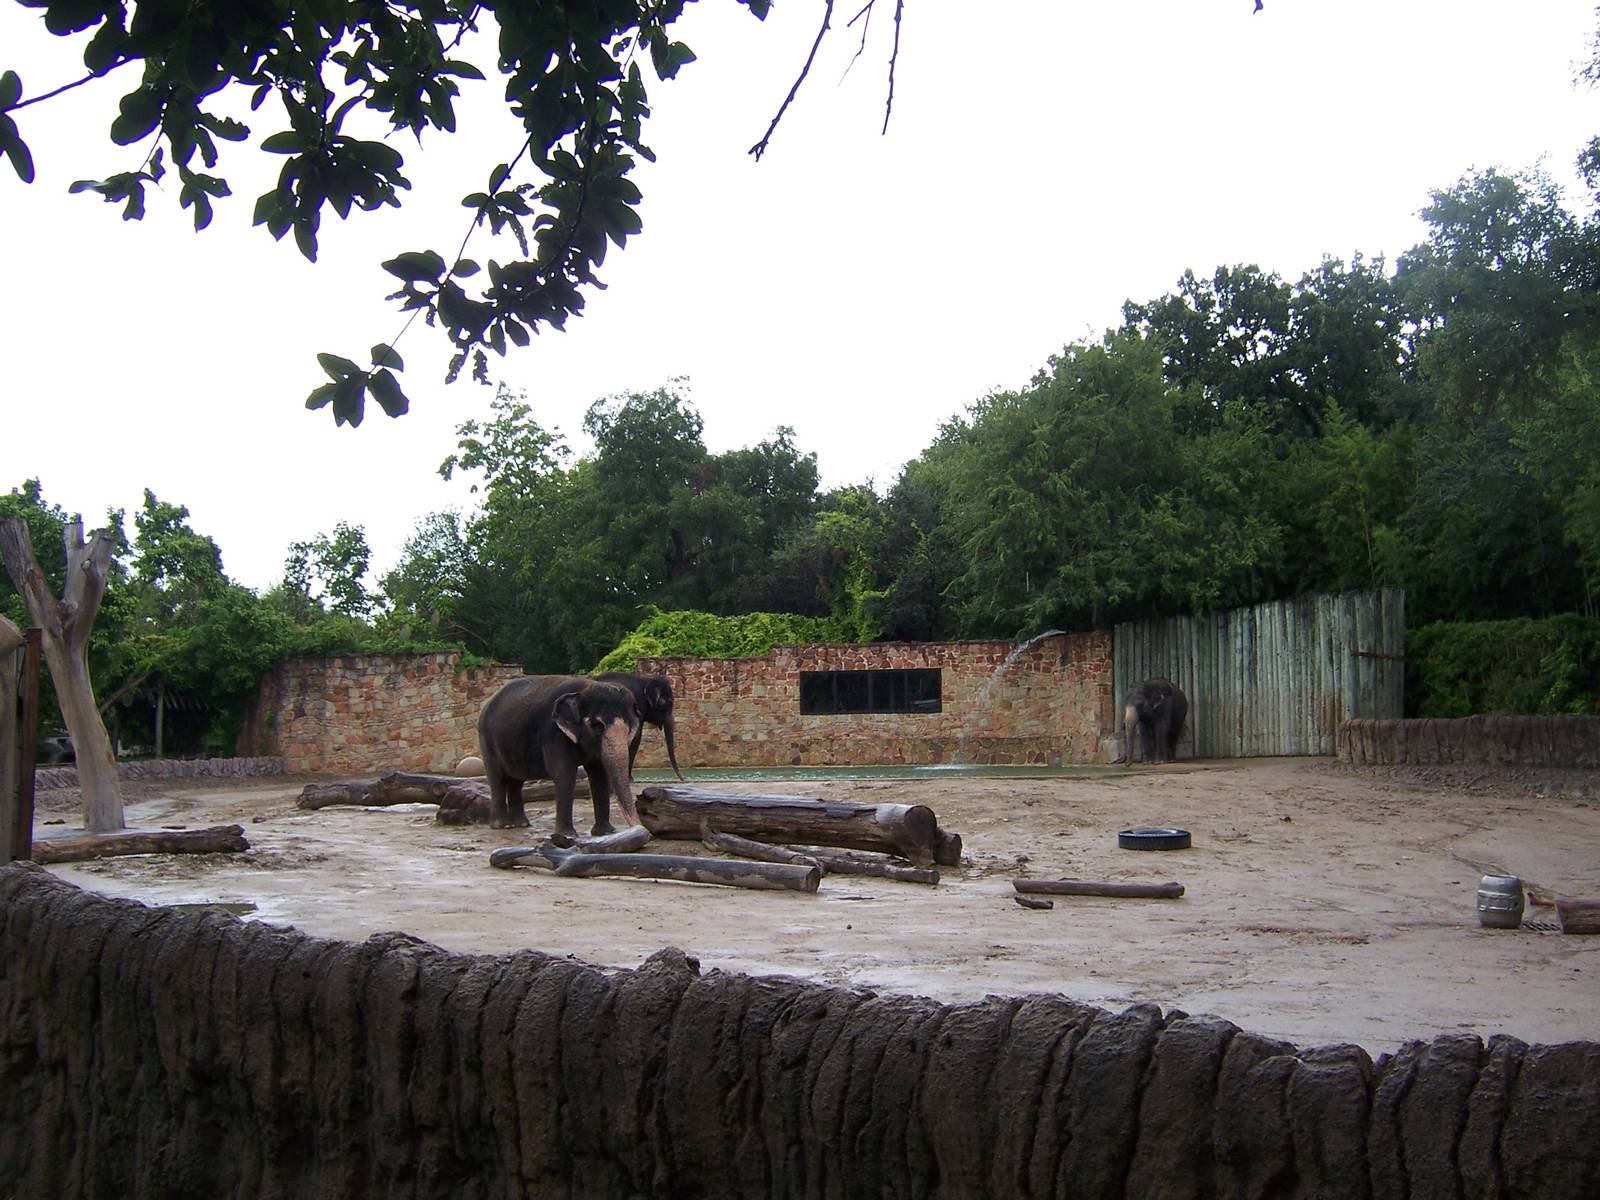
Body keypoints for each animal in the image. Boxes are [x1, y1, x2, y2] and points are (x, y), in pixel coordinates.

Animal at [477, 676, 642, 835]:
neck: (584, 689)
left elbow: (599, 775)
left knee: (516, 780)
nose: (640, 828)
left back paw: (520, 824)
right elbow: (564, 773)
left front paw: (605, 833)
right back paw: (502, 826)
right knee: (497, 778)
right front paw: (566, 835)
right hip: (486, 741)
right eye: (597, 725)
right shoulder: (553, 733)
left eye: (629, 727)